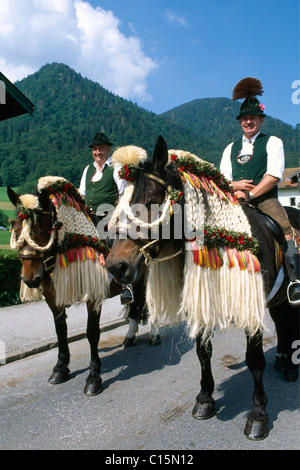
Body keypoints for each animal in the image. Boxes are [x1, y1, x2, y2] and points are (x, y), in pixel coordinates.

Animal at [105, 136, 298, 440]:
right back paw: (283, 359)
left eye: (152, 201)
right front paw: (205, 399)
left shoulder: (252, 307)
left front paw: (258, 415)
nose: (116, 266)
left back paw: (289, 366)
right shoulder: (201, 304)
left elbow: (255, 360)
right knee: (284, 323)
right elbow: (203, 353)